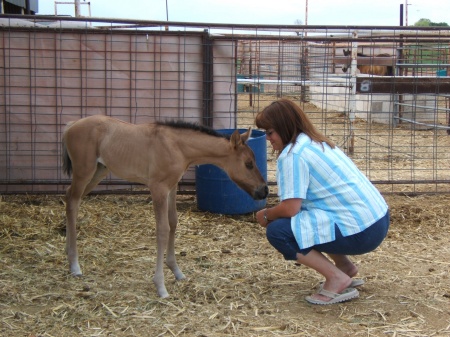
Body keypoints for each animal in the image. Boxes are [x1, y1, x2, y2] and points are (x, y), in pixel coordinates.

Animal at [62, 115, 268, 296]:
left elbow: (173, 223)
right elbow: (162, 229)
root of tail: (71, 126)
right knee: (72, 202)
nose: (264, 190)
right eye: (248, 164)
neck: (176, 146)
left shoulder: (172, 187)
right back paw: (75, 265)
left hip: (98, 171)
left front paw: (176, 271)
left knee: (70, 198)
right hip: (84, 171)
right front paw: (160, 285)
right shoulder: (158, 188)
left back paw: (69, 255)